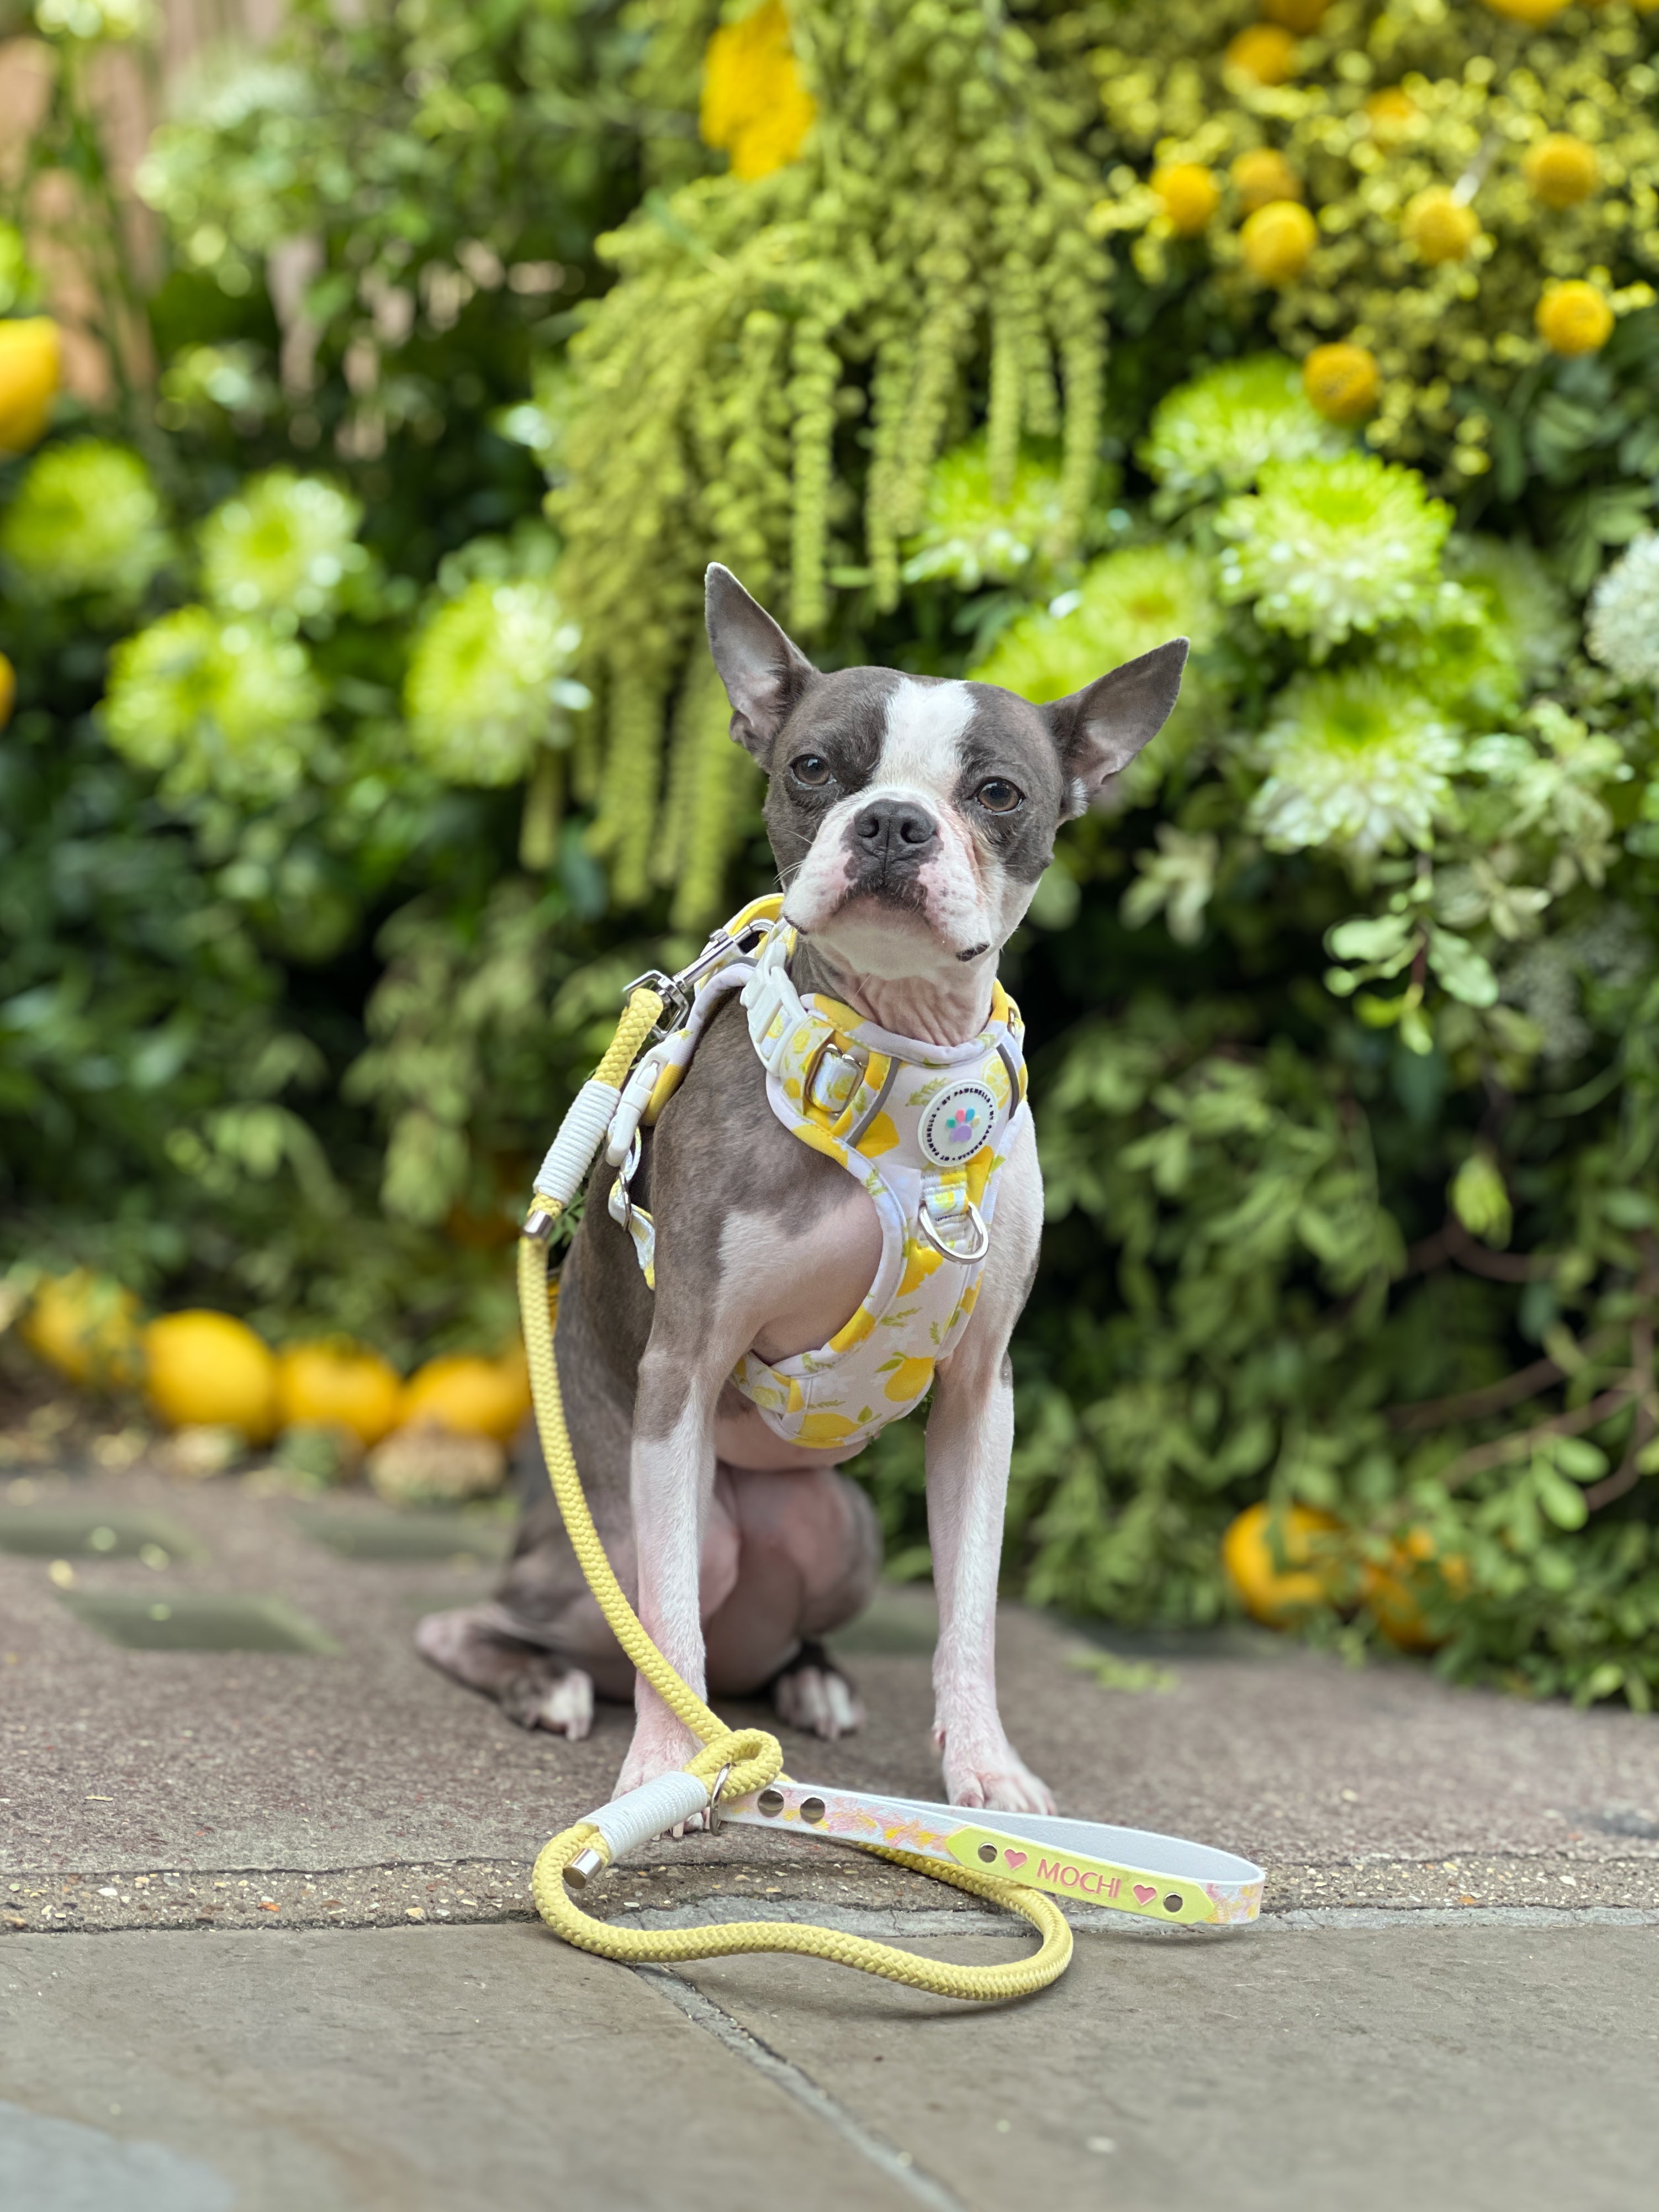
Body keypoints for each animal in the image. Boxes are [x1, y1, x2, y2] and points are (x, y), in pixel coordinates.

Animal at [417, 564, 1186, 1814]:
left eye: (997, 793)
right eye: (813, 769)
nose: (890, 820)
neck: (896, 1063)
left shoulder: (979, 1399)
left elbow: (969, 1615)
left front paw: (982, 1766)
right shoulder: (681, 1368)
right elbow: (667, 1623)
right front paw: (667, 1772)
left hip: (846, 1529)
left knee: (761, 1642)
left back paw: (809, 1682)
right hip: (606, 1536)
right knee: (533, 1621)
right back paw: (548, 1685)